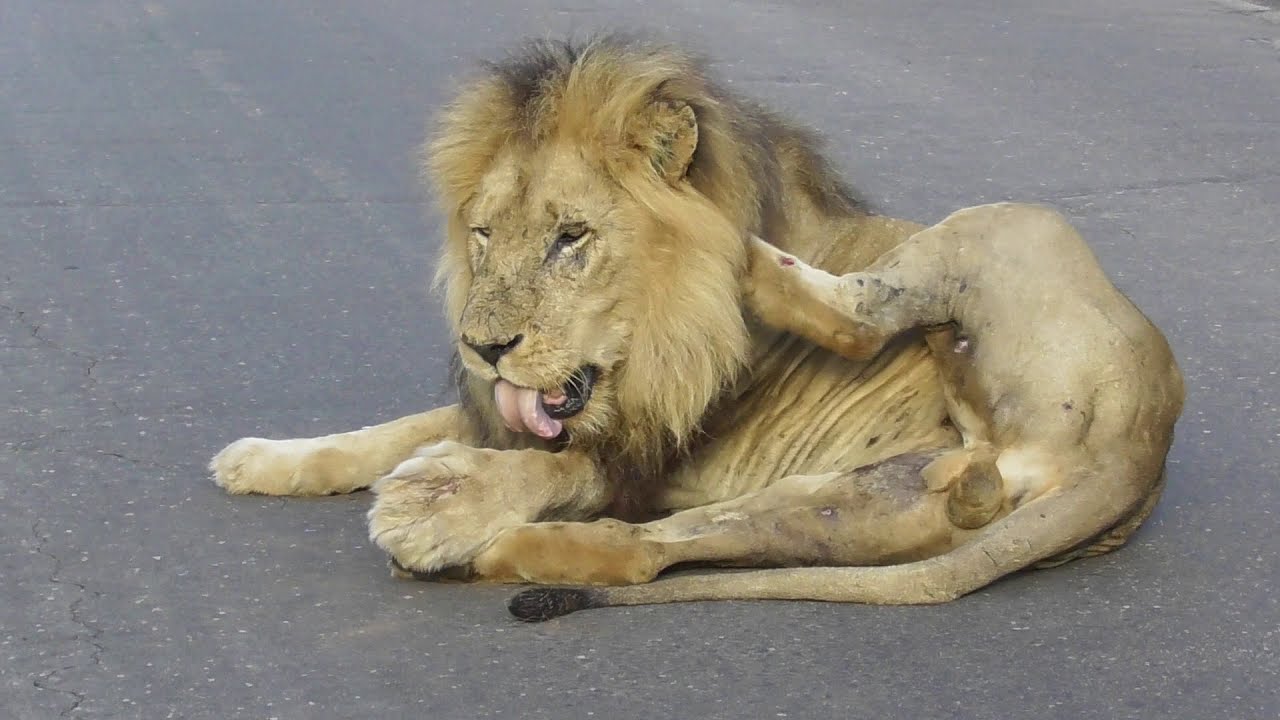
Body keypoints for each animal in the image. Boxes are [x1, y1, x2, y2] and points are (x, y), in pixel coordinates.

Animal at [208, 35, 1184, 621]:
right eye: (483, 234)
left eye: (572, 237)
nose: (481, 348)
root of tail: (1141, 443)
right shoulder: (534, 408)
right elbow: (394, 429)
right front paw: (264, 458)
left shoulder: (652, 440)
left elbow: (549, 467)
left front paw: (441, 504)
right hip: (851, 504)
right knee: (651, 551)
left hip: (1013, 222)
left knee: (861, 321)